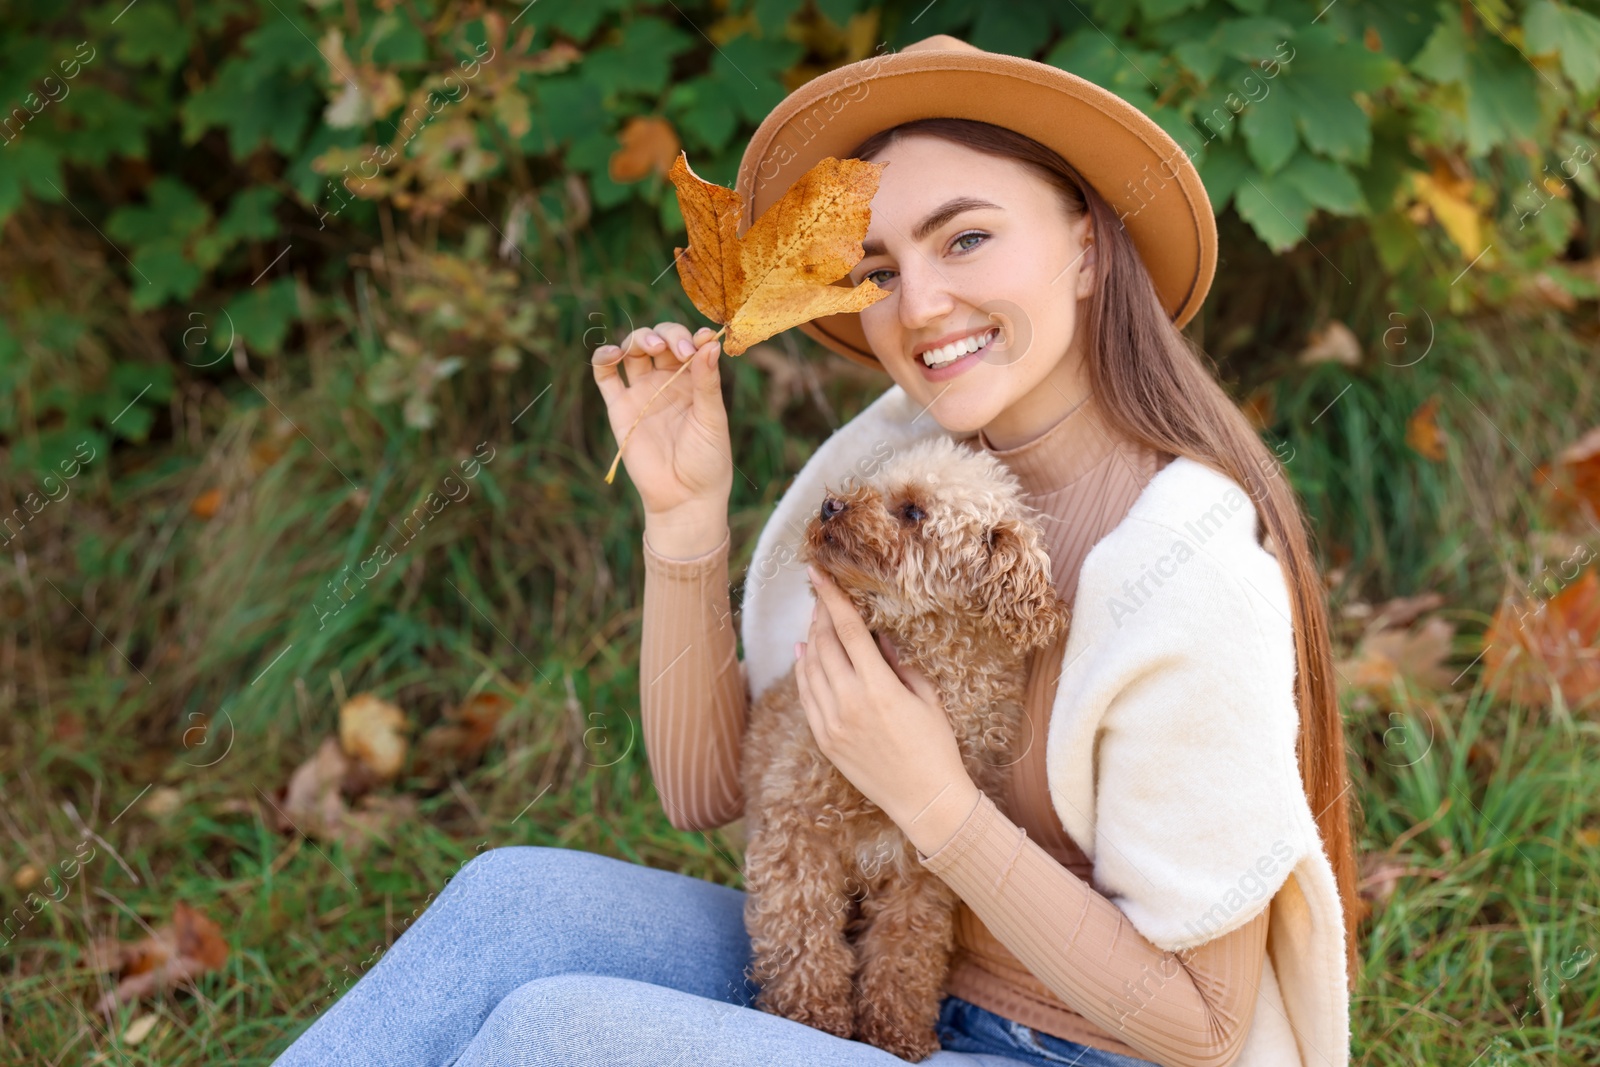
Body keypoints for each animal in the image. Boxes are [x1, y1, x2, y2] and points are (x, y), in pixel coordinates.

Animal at [739, 431, 1068, 1062]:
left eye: (913, 512)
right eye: (875, 488)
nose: (829, 505)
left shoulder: (922, 878)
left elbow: (905, 955)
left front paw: (896, 1032)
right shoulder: (796, 831)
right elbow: (801, 933)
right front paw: (812, 1015)